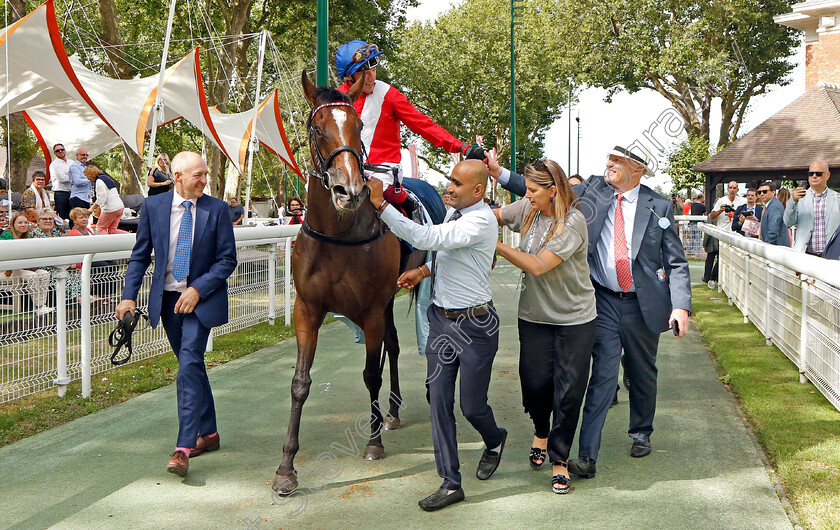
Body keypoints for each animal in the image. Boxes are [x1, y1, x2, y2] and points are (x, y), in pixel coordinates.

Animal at [272, 72, 420, 492]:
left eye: (358, 128)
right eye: (316, 128)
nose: (350, 190)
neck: (339, 234)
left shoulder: (370, 309)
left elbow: (371, 373)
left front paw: (373, 443)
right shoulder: (307, 309)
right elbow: (300, 383)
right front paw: (286, 467)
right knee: (393, 345)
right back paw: (392, 411)